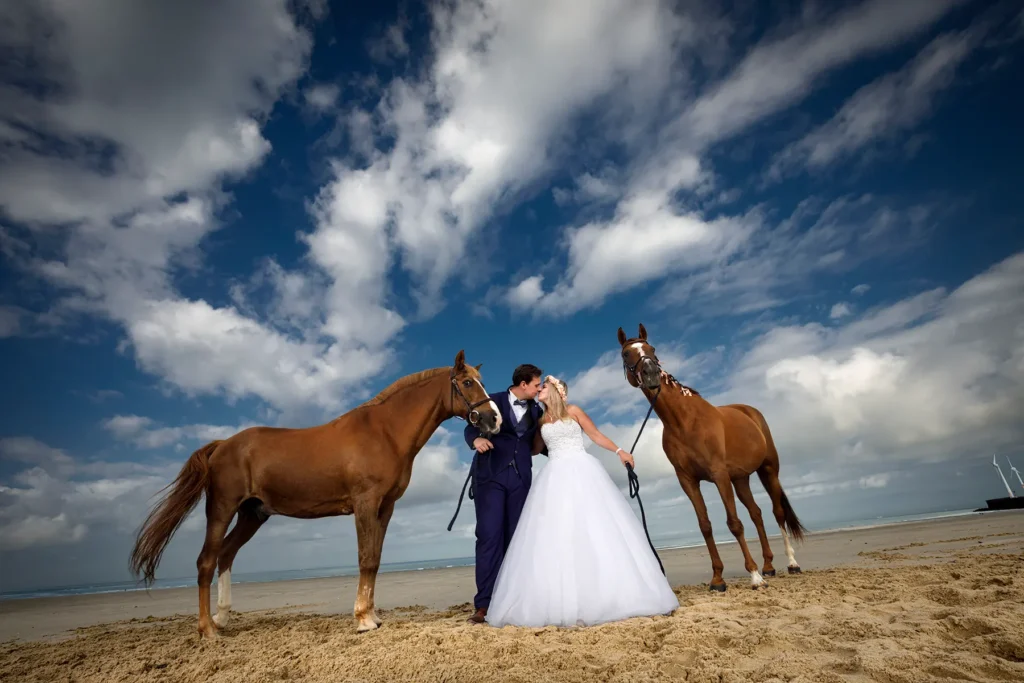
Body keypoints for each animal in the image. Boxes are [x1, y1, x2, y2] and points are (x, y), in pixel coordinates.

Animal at [131, 352, 499, 643]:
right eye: (467, 382)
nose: (493, 419)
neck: (384, 432)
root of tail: (222, 445)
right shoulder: (365, 503)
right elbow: (366, 558)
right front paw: (363, 620)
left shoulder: (386, 507)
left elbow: (376, 559)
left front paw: (372, 616)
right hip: (221, 509)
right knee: (206, 561)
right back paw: (207, 630)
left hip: (253, 514)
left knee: (226, 555)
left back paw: (221, 619)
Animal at [614, 323, 806, 589]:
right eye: (626, 354)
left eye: (653, 349)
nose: (652, 374)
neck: (684, 422)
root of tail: (750, 411)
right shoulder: (688, 481)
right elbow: (705, 525)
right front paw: (718, 579)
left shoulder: (719, 475)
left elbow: (734, 523)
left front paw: (753, 575)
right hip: (741, 479)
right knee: (756, 513)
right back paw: (768, 566)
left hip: (768, 470)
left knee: (777, 512)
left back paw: (791, 563)